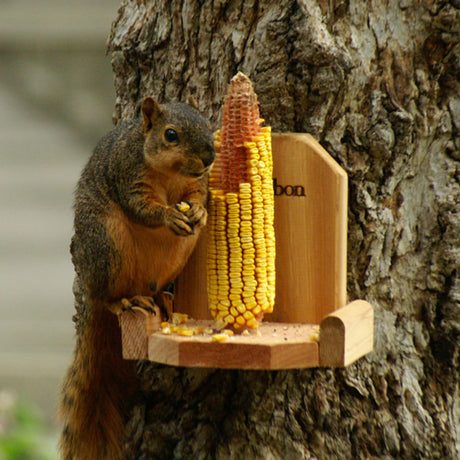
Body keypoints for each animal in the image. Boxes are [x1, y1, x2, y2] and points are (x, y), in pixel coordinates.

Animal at [58, 95, 215, 458]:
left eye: (207, 123)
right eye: (171, 135)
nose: (209, 157)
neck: (169, 174)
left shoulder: (195, 184)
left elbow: (198, 196)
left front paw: (199, 212)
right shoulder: (127, 174)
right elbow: (141, 207)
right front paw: (168, 215)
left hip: (176, 256)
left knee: (153, 286)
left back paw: (163, 299)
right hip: (107, 246)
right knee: (108, 296)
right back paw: (123, 302)